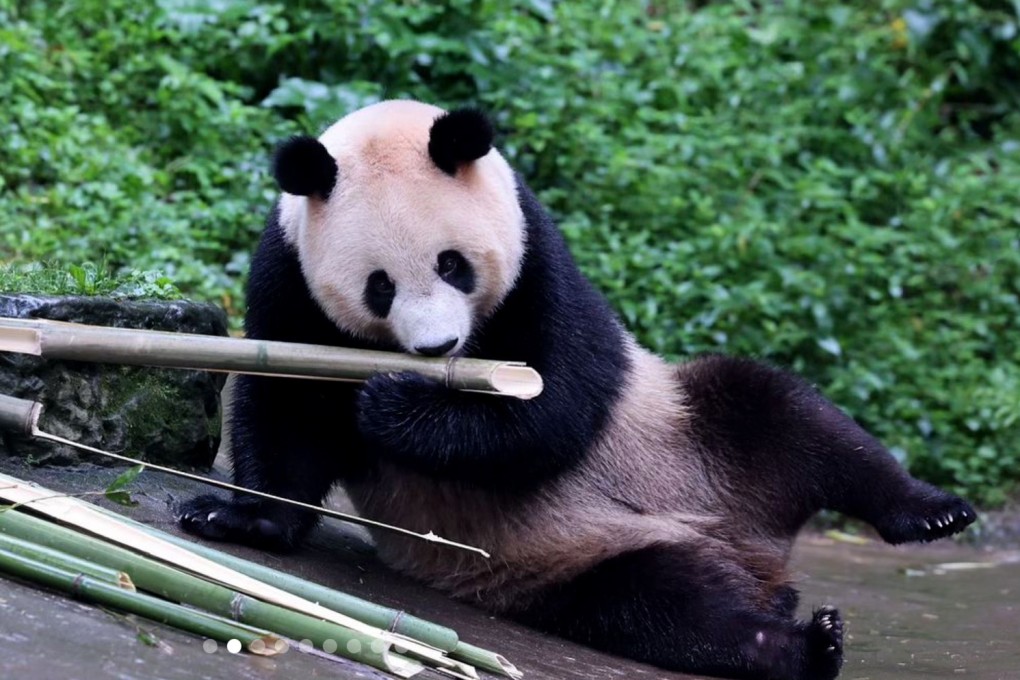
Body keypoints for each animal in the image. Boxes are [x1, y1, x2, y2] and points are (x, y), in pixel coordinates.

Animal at [179, 99, 975, 680]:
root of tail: (754, 547)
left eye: (453, 265)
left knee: (787, 416)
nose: (439, 349)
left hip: (688, 426)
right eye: (380, 287)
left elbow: (552, 412)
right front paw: (236, 519)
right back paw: (799, 643)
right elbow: (284, 413)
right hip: (575, 562)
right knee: (666, 612)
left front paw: (394, 407)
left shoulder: (539, 261)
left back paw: (927, 514)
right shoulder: (289, 281)